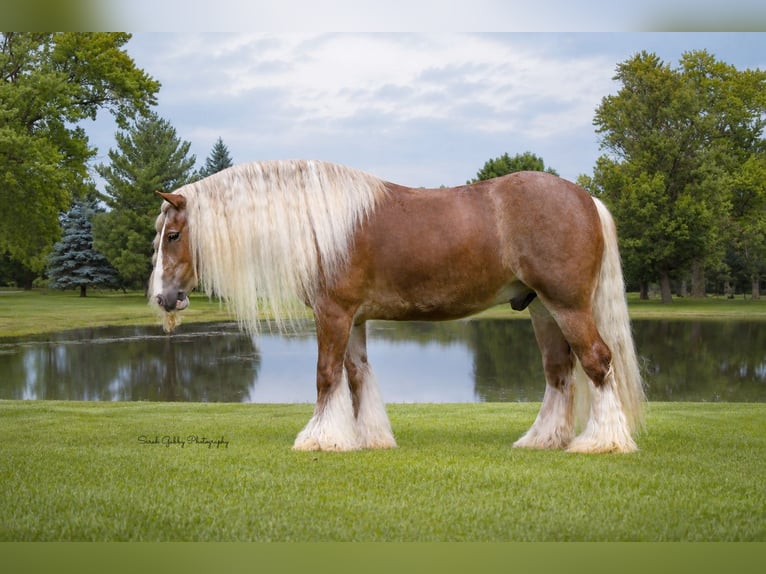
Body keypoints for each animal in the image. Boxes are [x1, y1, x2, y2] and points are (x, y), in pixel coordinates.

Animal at [149, 159, 645, 453]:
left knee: (597, 361)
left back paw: (601, 443)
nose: (163, 298)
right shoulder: (353, 318)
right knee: (559, 372)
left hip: (568, 305)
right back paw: (542, 440)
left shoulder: (332, 313)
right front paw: (366, 437)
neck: (321, 226)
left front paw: (318, 439)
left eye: (172, 235)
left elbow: (326, 375)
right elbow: (355, 376)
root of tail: (586, 197)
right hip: (543, 309)